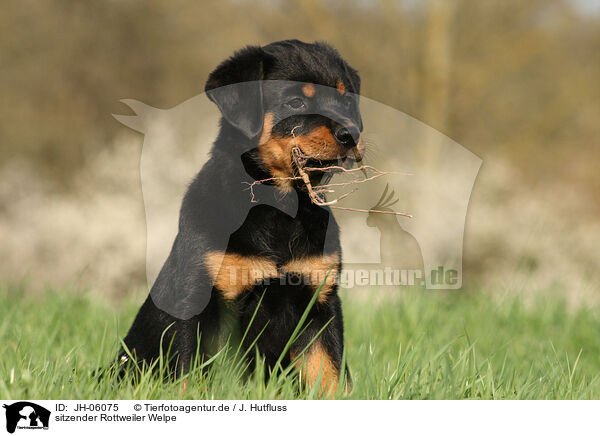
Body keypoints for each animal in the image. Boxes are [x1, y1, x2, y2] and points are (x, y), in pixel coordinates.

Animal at [117, 40, 360, 396]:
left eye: (345, 100)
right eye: (296, 102)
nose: (351, 134)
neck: (280, 205)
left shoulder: (319, 302)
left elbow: (328, 372)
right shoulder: (197, 300)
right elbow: (189, 371)